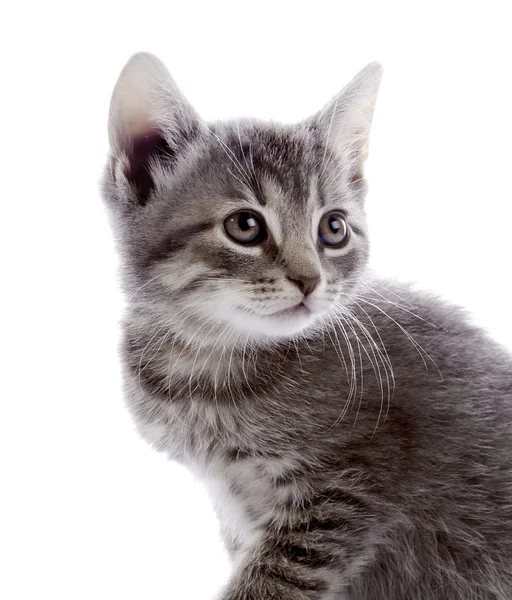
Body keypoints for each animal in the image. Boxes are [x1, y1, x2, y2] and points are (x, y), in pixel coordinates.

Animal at [101, 54, 512, 596]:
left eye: (333, 228)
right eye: (245, 226)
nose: (310, 279)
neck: (211, 360)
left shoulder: (345, 489)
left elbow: (272, 582)